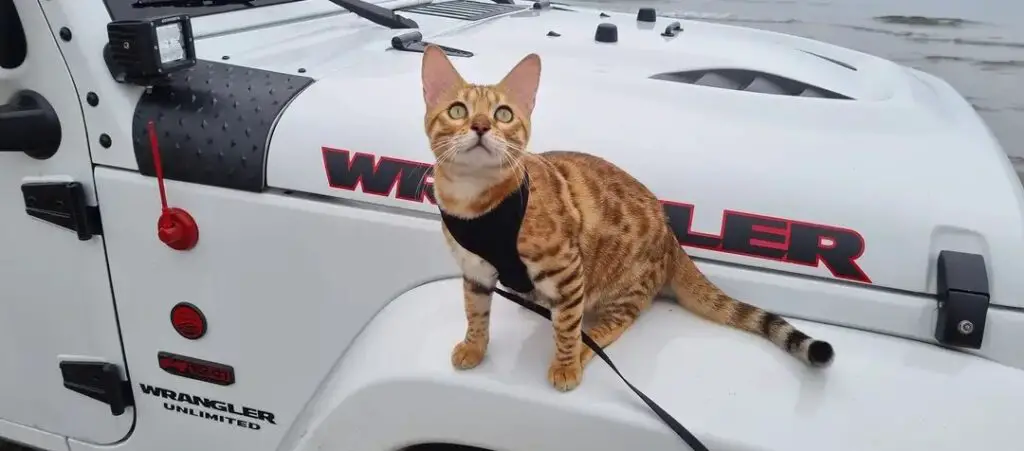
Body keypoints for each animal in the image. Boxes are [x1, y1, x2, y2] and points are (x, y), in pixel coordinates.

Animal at [419, 44, 835, 391]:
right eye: (458, 110)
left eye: (503, 114)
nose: (481, 126)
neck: (476, 203)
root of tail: (673, 241)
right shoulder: (474, 271)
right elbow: (475, 314)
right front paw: (474, 348)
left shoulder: (568, 271)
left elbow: (567, 329)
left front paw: (566, 364)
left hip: (621, 284)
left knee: (614, 323)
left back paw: (583, 350)